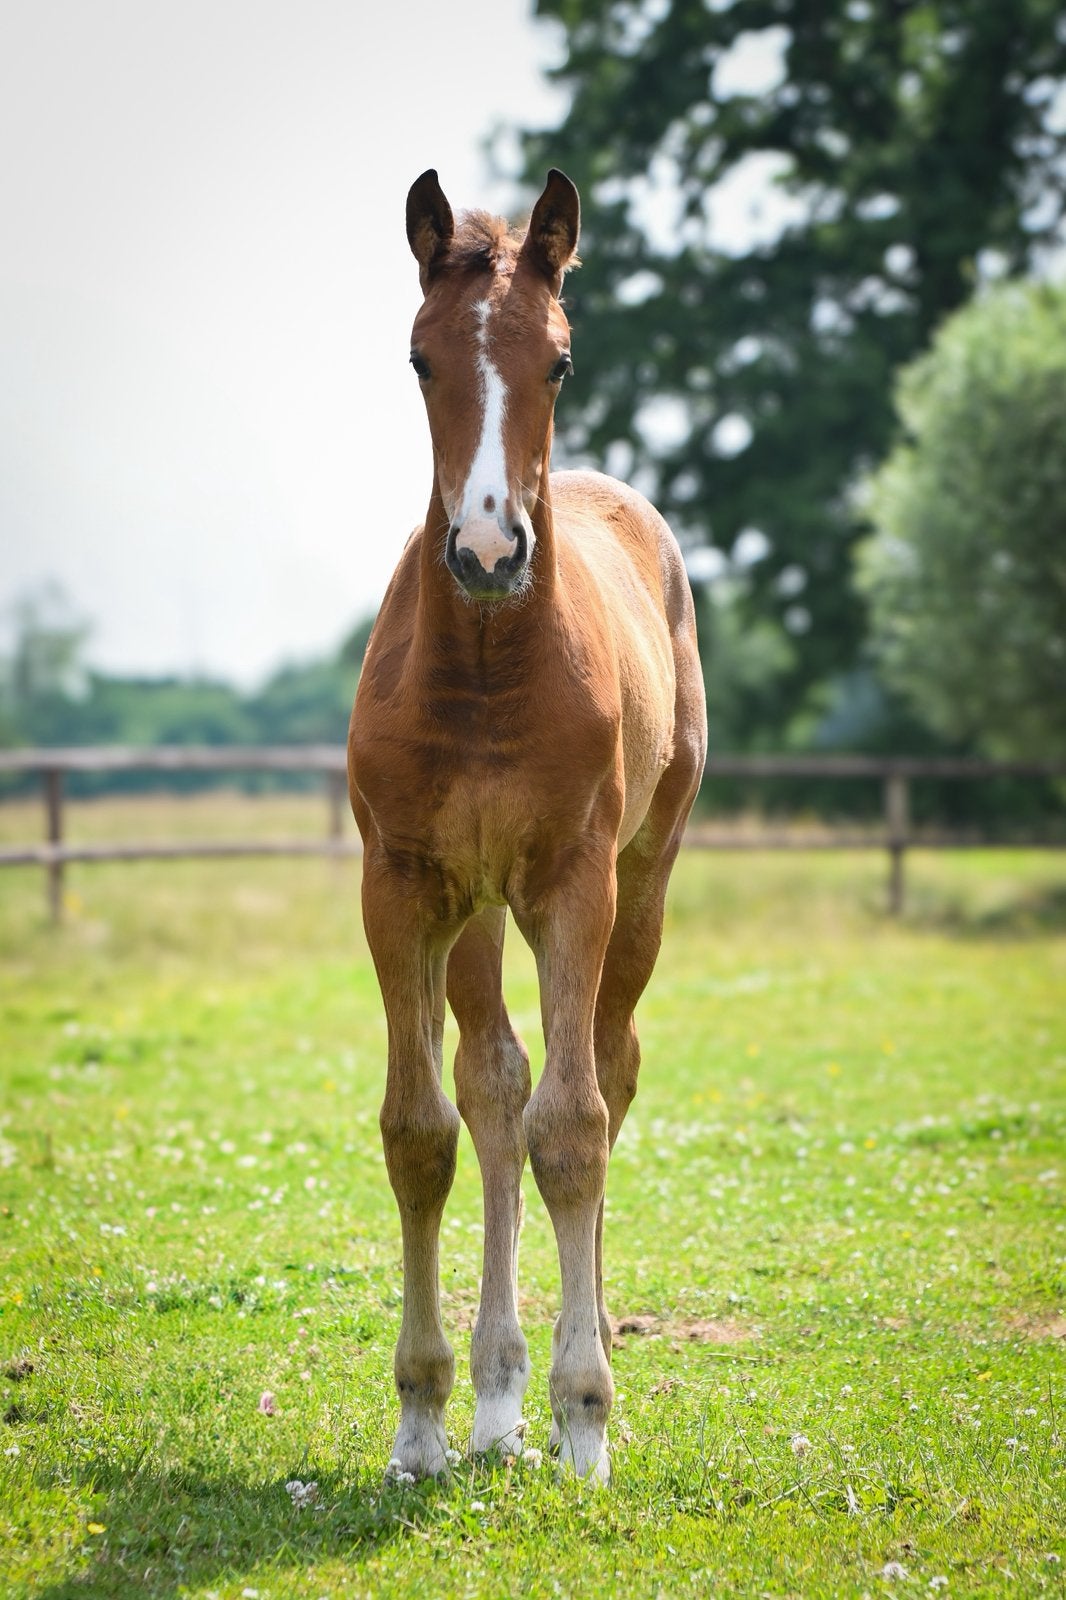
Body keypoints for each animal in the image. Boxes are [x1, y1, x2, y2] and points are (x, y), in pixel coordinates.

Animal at [347, 169, 707, 1482]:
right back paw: (497, 1397)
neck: (492, 668)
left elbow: (575, 1124)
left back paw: (572, 1366)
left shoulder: (570, 883)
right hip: (477, 910)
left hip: (641, 881)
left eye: (558, 359)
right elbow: (423, 1129)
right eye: (419, 358)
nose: (491, 549)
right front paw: (422, 1419)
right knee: (494, 1081)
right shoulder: (405, 887)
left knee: (604, 1067)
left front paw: (583, 1416)